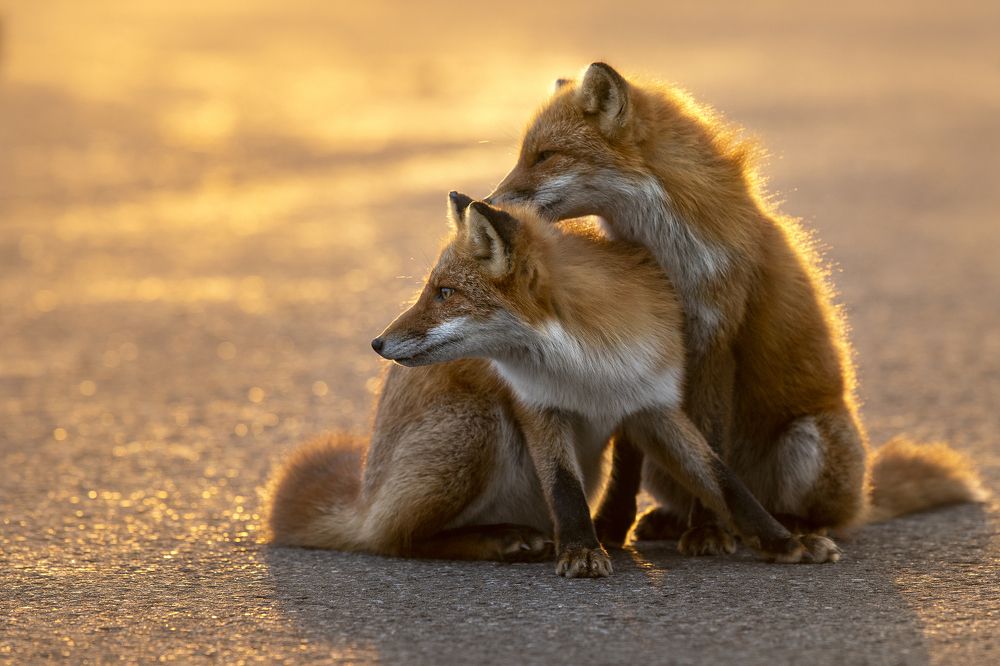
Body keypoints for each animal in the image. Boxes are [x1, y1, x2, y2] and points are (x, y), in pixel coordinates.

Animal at [487, 62, 988, 557]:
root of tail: (865, 494)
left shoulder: (715, 341)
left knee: (827, 517)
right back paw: (680, 521)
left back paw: (784, 528)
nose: (486, 204)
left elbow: (711, 446)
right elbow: (627, 459)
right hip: (667, 467)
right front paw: (611, 524)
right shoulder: (640, 348)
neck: (668, 260)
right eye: (523, 155)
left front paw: (708, 530)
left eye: (545, 156)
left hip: (809, 442)